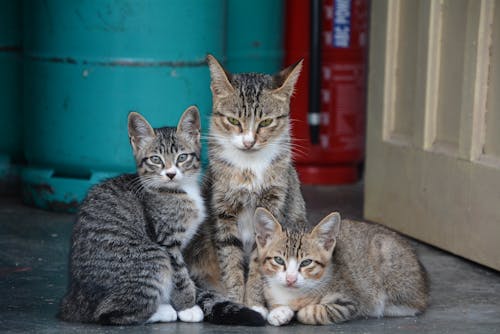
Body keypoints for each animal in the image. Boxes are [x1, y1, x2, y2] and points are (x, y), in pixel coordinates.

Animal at [58, 107, 205, 326]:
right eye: (155, 159)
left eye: (182, 157)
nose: (170, 174)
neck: (178, 190)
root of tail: (74, 300)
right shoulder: (167, 241)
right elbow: (179, 275)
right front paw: (187, 306)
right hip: (153, 258)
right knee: (109, 314)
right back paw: (163, 311)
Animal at [184, 54, 308, 324]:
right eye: (233, 120)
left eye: (266, 122)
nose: (249, 141)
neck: (249, 169)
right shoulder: (223, 210)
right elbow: (230, 259)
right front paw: (237, 302)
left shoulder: (275, 204)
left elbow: (262, 262)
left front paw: (255, 303)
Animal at [254, 207, 430, 324]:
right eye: (278, 260)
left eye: (306, 262)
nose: (290, 279)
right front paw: (278, 312)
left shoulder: (350, 300)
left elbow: (316, 311)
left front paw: (302, 311)